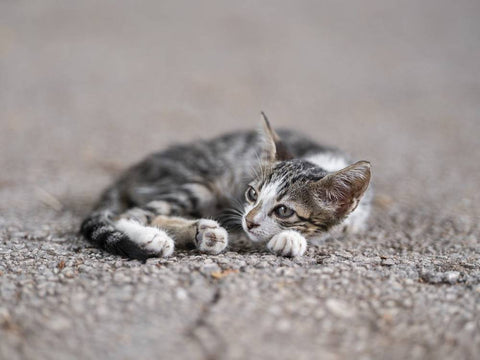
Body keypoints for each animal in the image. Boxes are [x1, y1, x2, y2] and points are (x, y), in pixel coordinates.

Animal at [81, 114, 372, 258]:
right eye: (252, 194)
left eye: (284, 211)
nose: (249, 222)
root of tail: (131, 171)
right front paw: (292, 239)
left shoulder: (356, 218)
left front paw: (290, 236)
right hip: (201, 184)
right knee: (128, 214)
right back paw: (155, 237)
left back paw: (205, 232)